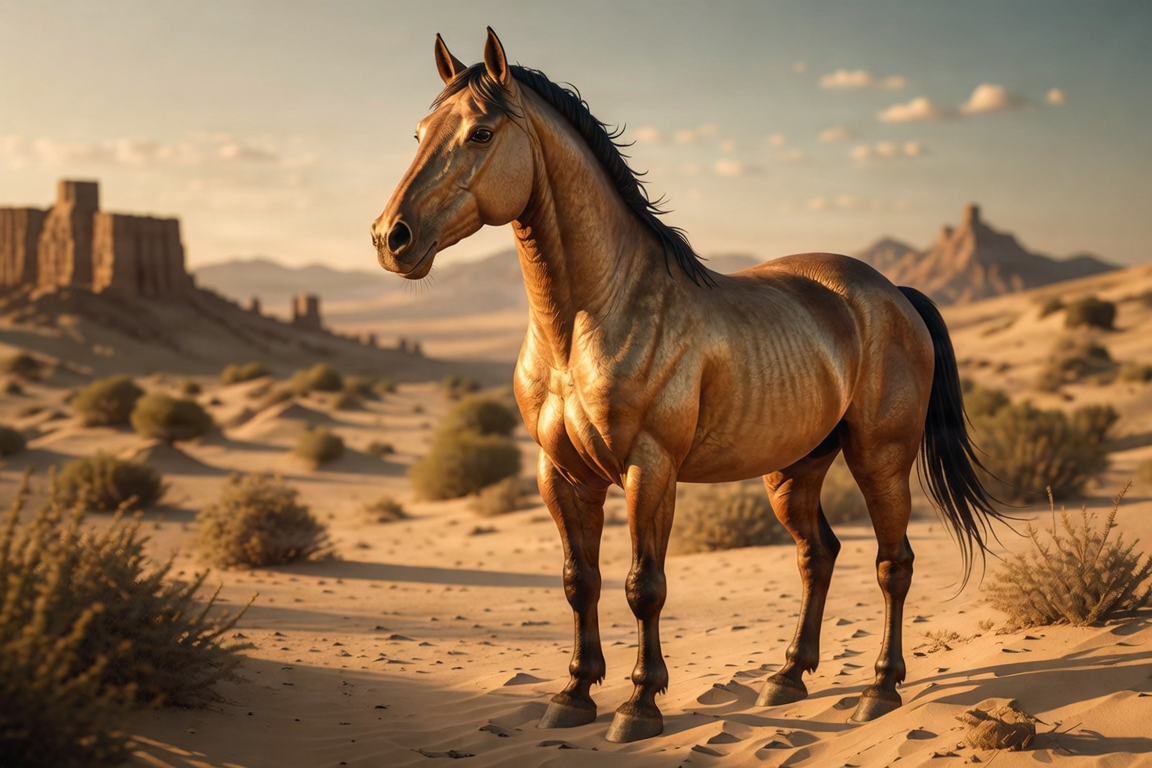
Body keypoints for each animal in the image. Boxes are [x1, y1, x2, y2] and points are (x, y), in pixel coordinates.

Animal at [371, 28, 1005, 743]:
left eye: (480, 133)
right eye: (419, 132)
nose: (391, 238)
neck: (589, 320)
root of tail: (891, 291)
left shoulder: (649, 469)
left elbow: (644, 585)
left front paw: (639, 704)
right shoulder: (559, 474)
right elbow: (579, 581)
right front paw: (573, 693)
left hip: (880, 458)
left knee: (893, 563)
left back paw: (880, 689)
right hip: (794, 470)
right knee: (817, 554)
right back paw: (787, 677)